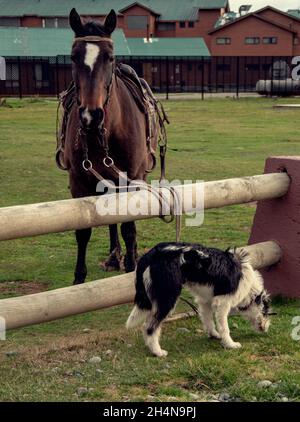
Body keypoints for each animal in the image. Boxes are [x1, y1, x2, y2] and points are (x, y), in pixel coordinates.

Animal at [61, 9, 163, 284]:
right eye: (73, 57)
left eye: (110, 57)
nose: (91, 115)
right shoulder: (79, 181)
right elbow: (83, 231)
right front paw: (78, 278)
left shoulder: (130, 179)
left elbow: (129, 226)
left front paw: (131, 264)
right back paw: (113, 256)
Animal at [125, 242, 270, 358]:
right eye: (266, 312)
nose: (267, 328)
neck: (249, 287)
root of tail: (150, 255)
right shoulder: (223, 303)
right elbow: (224, 327)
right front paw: (230, 344)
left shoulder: (205, 301)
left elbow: (209, 321)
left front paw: (214, 335)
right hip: (167, 299)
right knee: (150, 327)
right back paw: (157, 352)